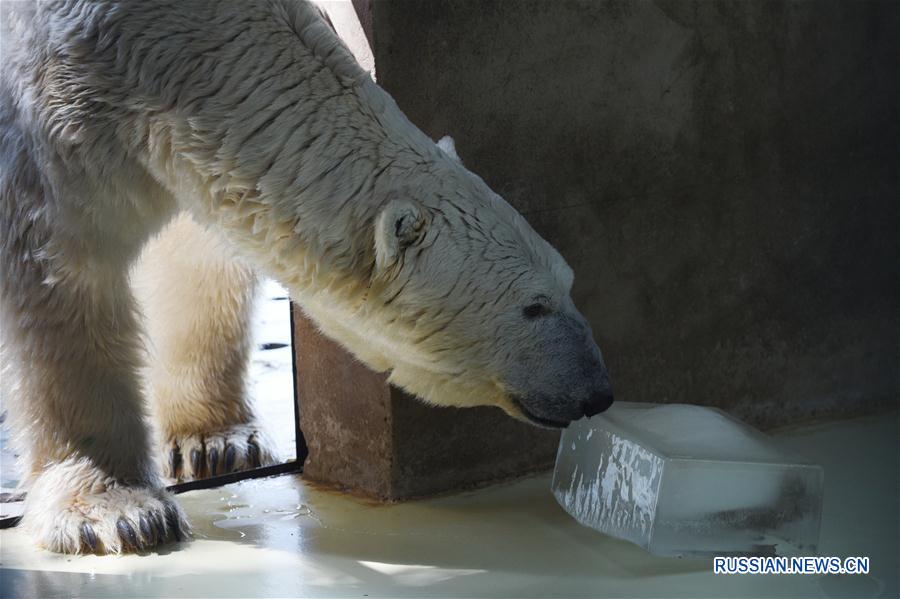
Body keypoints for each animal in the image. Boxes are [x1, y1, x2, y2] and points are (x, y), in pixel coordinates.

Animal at [0, 0, 616, 556]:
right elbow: (60, 273)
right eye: (532, 306)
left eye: (567, 283)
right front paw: (117, 511)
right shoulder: (59, 111)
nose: (598, 391)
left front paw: (218, 441)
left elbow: (197, 260)